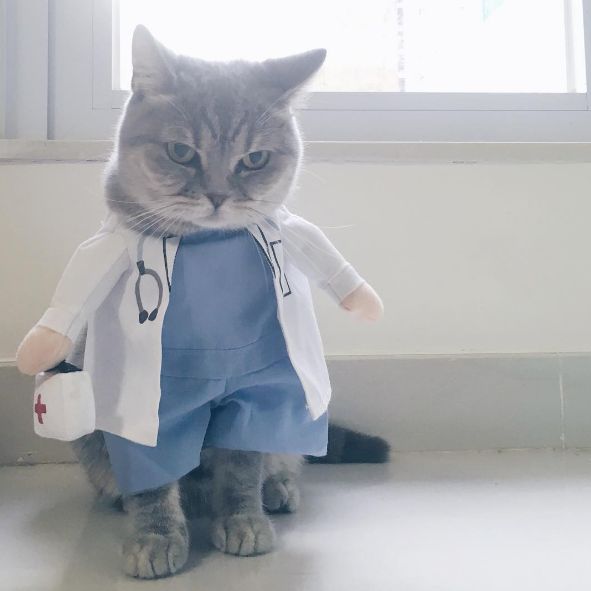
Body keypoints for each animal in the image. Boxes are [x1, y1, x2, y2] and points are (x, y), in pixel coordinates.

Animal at [68, 25, 388, 580]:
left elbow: (242, 465)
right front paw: (156, 536)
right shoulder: (143, 402)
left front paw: (243, 520)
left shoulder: (252, 394)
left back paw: (275, 489)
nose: (217, 194)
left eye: (254, 159)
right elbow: (153, 480)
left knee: (278, 458)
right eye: (180, 151)